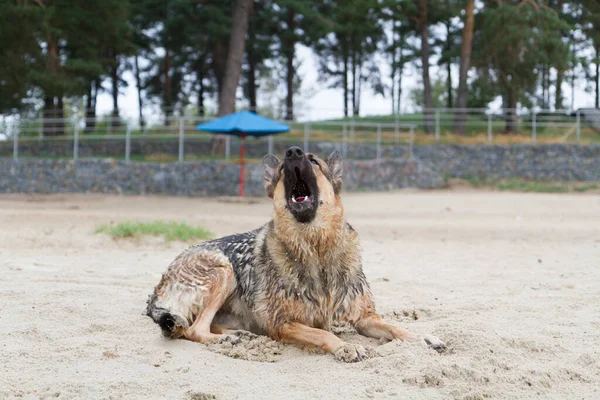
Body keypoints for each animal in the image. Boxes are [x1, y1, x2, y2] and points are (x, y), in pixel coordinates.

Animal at [145, 147, 446, 362]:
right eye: (281, 168)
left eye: (314, 161)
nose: (292, 152)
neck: (316, 248)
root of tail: (156, 292)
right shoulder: (283, 323)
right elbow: (321, 332)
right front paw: (345, 347)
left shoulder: (365, 318)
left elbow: (396, 329)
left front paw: (422, 337)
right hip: (224, 271)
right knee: (194, 329)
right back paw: (226, 339)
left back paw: (237, 333)